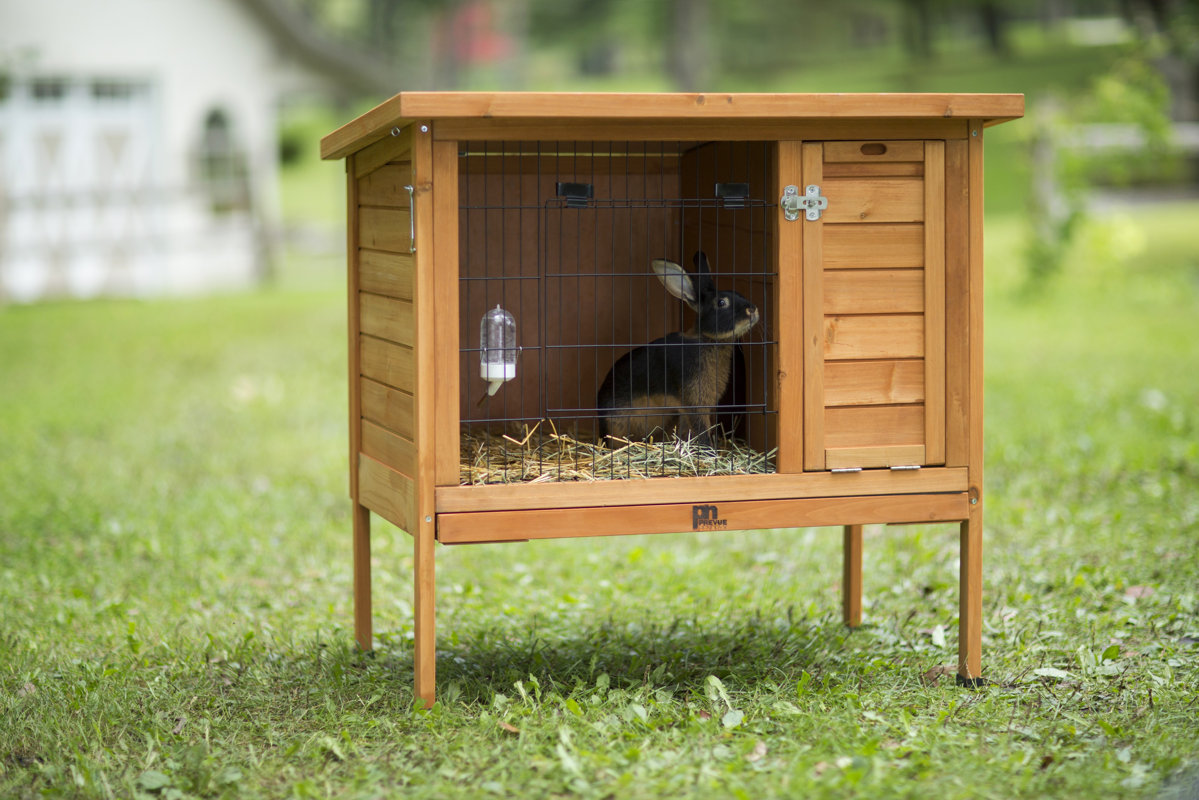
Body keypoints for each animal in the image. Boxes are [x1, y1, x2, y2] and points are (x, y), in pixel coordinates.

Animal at [596, 252, 760, 448]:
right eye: (721, 303)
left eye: (738, 293)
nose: (753, 310)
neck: (707, 340)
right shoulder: (694, 402)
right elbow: (701, 430)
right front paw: (709, 451)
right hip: (618, 424)